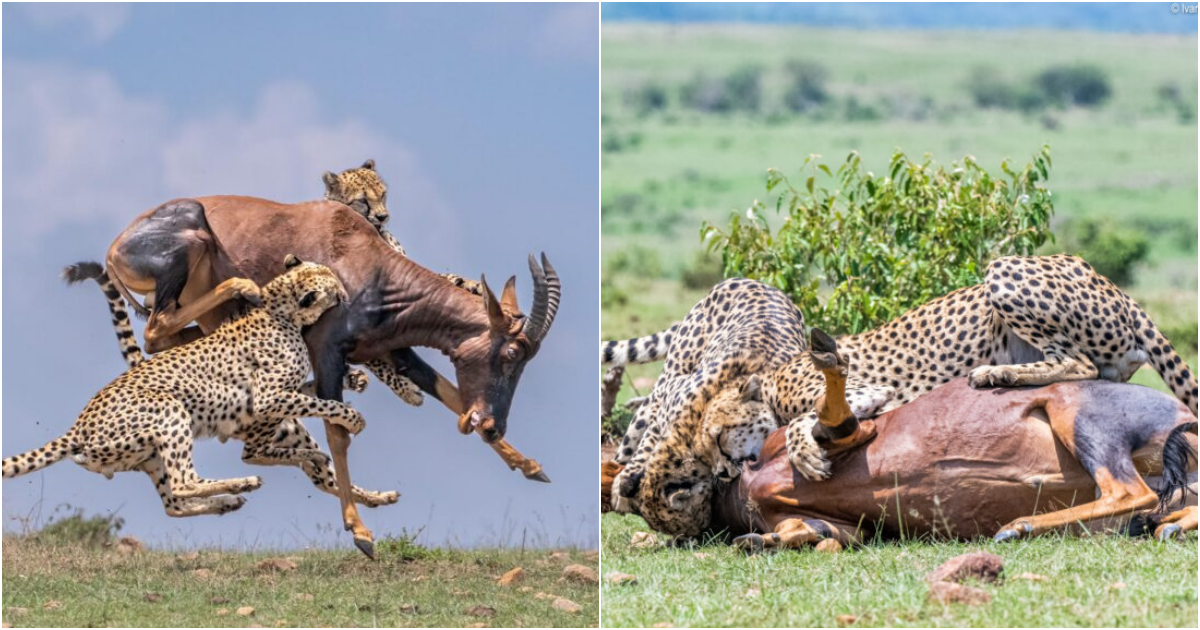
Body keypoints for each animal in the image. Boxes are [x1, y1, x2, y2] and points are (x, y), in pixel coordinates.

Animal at [1, 256, 384, 516]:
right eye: (332, 285)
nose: (346, 290)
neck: (280, 310)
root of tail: (78, 426)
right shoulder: (265, 400)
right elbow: (323, 403)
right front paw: (353, 419)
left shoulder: (279, 396)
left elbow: (310, 390)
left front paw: (354, 379)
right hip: (170, 411)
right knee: (189, 479)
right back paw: (243, 483)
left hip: (147, 455)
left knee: (174, 501)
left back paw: (231, 498)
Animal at [93, 195, 561, 554]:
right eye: (512, 352)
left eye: (528, 357)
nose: (493, 425)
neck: (368, 264)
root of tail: (115, 248)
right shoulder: (329, 355)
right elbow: (338, 434)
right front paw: (361, 534)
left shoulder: (396, 351)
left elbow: (448, 393)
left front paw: (531, 467)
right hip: (190, 250)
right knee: (156, 329)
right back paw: (244, 291)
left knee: (175, 336)